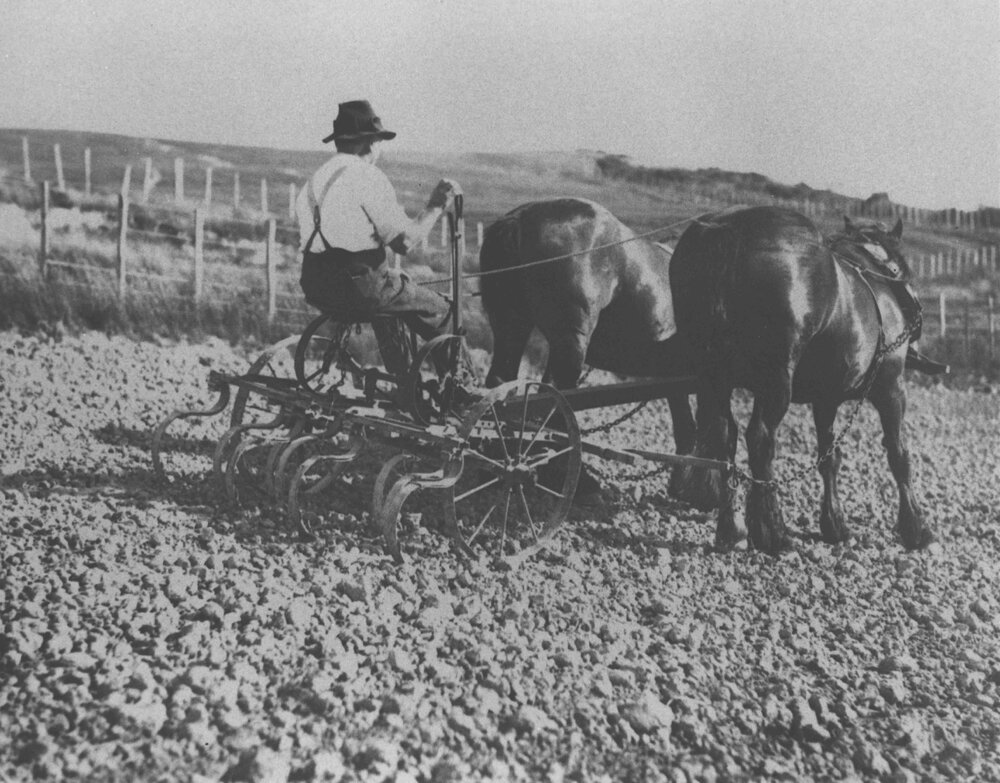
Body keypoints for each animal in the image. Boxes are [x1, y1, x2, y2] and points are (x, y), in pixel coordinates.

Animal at [668, 205, 935, 554]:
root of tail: (730, 228)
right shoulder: (891, 387)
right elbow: (899, 454)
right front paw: (915, 527)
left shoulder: (826, 399)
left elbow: (829, 458)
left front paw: (835, 524)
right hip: (776, 379)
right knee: (760, 439)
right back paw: (772, 531)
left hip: (713, 377)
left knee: (725, 436)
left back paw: (731, 528)